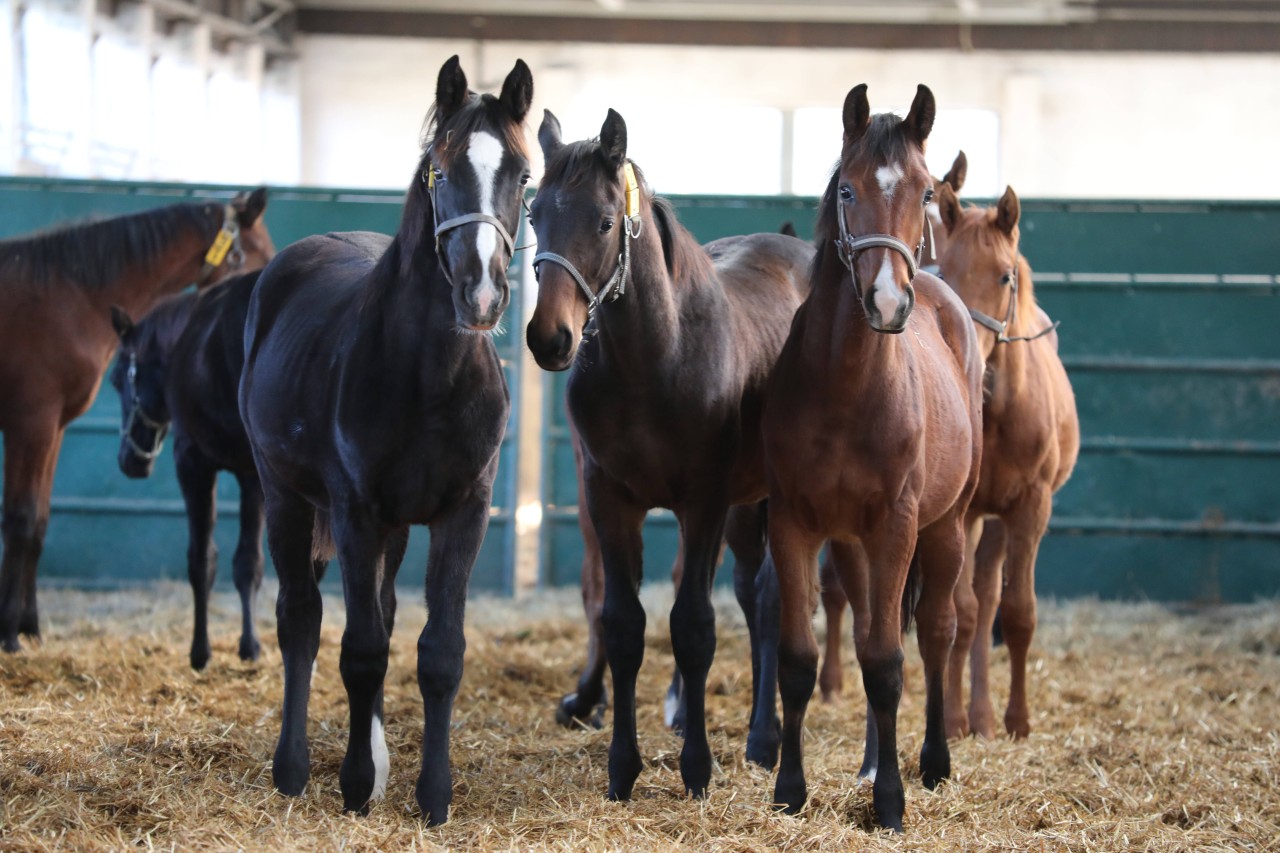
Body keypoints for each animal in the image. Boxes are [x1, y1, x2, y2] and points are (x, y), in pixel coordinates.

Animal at [1, 189, 272, 648]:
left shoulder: (53, 429)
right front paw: (8, 636)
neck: (69, 295)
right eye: (260, 254)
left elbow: (37, 523)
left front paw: (29, 627)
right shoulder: (31, 425)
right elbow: (19, 520)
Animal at [239, 56, 529, 819]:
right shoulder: (356, 512)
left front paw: (432, 794)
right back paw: (293, 766)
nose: (481, 293)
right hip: (284, 496)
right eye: (439, 170)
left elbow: (438, 650)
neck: (428, 376)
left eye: (523, 174)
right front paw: (354, 784)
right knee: (300, 618)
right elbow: (360, 650)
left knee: (385, 611)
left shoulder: (464, 511)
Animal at [524, 108, 814, 799]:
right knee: (752, 594)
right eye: (535, 215)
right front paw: (622, 766)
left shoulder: (703, 503)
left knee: (769, 600)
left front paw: (697, 768)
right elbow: (622, 621)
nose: (551, 338)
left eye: (605, 221)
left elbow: (693, 627)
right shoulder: (609, 500)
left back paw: (763, 739)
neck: (656, 358)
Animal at [762, 86, 983, 829]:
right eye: (848, 190)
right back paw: (867, 760)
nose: (887, 301)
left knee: (938, 629)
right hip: (853, 544)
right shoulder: (794, 524)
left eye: (925, 190)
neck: (846, 387)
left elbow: (888, 662)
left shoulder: (897, 525)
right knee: (862, 627)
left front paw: (890, 801)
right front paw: (790, 789)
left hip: (946, 527)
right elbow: (801, 658)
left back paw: (935, 761)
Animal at [931, 180, 1080, 737]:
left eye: (1004, 274)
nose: (971, 352)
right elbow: (964, 611)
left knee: (994, 593)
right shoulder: (966, 511)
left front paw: (1018, 720)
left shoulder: (1031, 508)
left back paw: (988, 715)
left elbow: (1017, 613)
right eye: (945, 274)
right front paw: (954, 720)